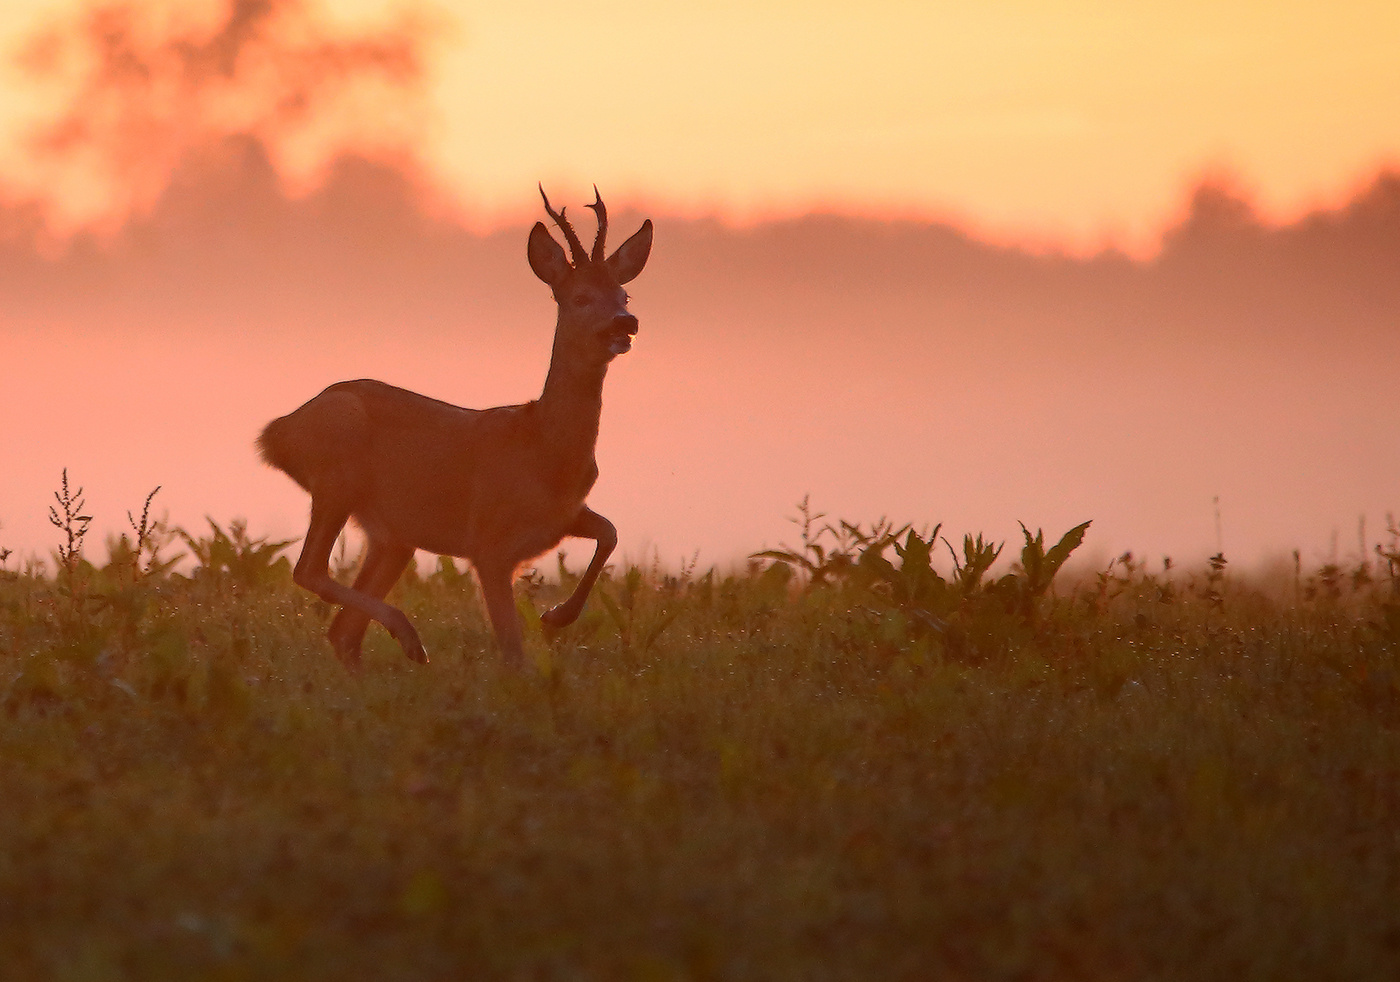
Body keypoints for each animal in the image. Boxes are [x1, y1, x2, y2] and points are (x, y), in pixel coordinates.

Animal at [257, 186, 652, 670]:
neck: (545, 448)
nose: (625, 323)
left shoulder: (563, 515)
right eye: (579, 297)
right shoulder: (489, 541)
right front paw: (546, 628)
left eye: (624, 294)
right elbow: (512, 650)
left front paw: (556, 615)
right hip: (337, 474)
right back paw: (410, 636)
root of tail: (277, 432)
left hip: (390, 531)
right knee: (309, 570)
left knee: (342, 631)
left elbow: (610, 532)